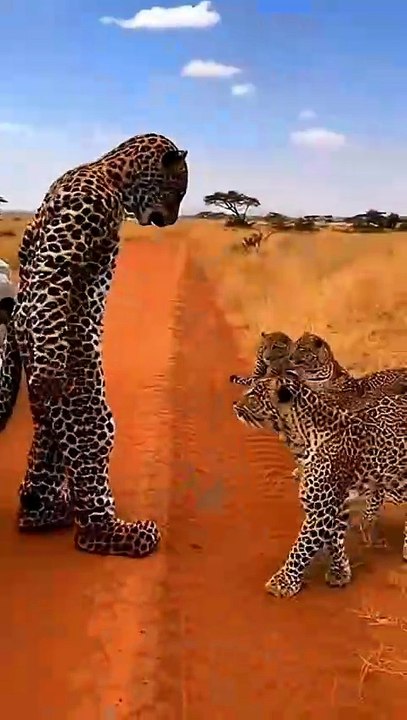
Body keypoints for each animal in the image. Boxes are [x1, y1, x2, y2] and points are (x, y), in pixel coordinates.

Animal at [0, 132, 188, 558]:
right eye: (178, 190)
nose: (172, 219)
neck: (109, 174)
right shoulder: (84, 213)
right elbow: (54, 271)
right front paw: (51, 375)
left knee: (47, 437)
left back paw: (42, 510)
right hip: (84, 385)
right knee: (89, 438)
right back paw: (109, 533)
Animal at [233, 370, 407, 598]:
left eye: (253, 395)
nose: (235, 404)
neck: (298, 438)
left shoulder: (320, 510)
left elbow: (302, 547)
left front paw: (282, 583)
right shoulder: (337, 504)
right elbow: (334, 539)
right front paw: (339, 572)